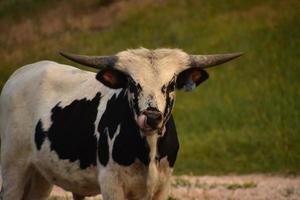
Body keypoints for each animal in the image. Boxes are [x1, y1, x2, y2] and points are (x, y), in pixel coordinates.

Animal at [0, 47, 241, 199]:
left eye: (171, 84)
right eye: (132, 84)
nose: (152, 117)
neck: (148, 152)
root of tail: (20, 73)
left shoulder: (161, 186)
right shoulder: (112, 185)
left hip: (40, 175)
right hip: (13, 168)